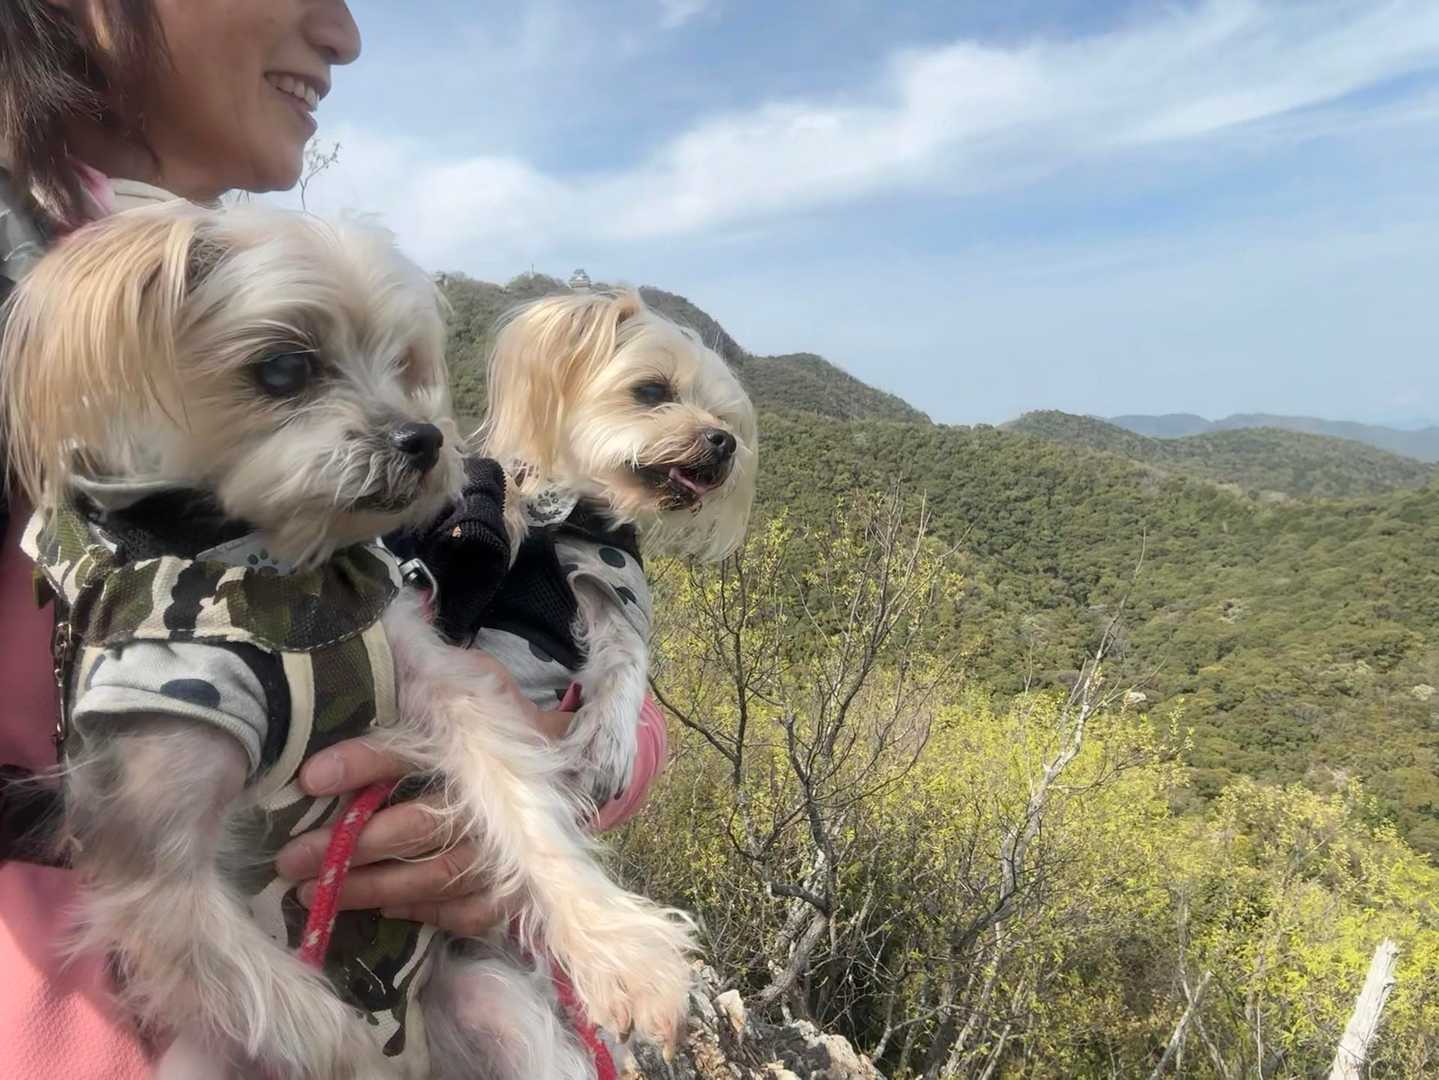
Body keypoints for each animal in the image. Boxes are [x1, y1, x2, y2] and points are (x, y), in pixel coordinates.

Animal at [1, 204, 693, 1079]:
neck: (271, 577)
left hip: (496, 1008)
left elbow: (525, 801)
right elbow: (302, 1017)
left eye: (402, 364)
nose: (425, 439)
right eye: (282, 369)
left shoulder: (430, 673)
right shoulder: (150, 869)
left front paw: (624, 951)